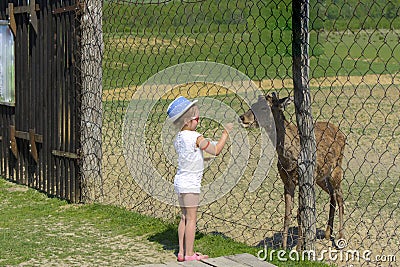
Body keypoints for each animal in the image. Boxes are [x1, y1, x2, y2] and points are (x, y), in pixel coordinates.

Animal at [239, 93, 346, 250]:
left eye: (265, 107)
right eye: (252, 105)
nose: (242, 117)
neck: (288, 158)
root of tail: (341, 132)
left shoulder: (303, 179)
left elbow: (300, 212)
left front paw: (299, 248)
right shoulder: (287, 181)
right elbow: (287, 213)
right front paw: (283, 247)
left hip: (337, 167)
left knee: (340, 196)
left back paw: (340, 238)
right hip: (321, 177)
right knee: (332, 194)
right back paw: (327, 233)